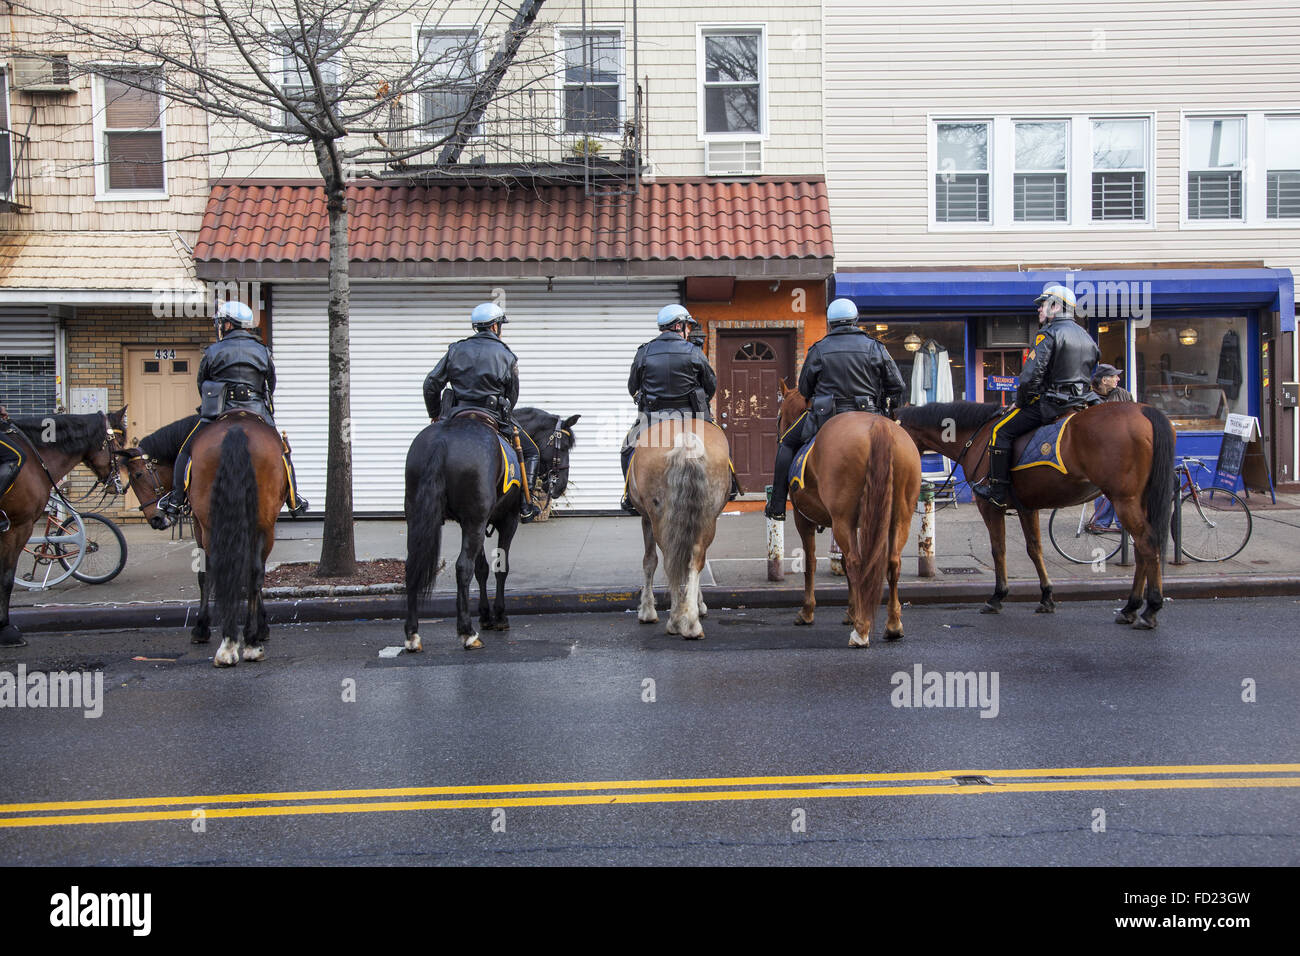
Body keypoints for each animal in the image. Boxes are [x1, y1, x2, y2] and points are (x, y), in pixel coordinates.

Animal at [405, 403, 579, 650]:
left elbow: (482, 569)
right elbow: (500, 567)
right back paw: (467, 632)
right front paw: (499, 615)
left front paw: (486, 615)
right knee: (462, 567)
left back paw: (412, 633)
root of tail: (442, 441)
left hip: (420, 515)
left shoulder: (472, 521)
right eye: (563, 446)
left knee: (413, 564)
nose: (561, 485)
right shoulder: (506, 519)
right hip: (474, 520)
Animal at [626, 416, 733, 639]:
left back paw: (676, 621)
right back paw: (691, 622)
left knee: (670, 560)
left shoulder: (646, 518)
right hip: (707, 517)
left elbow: (649, 561)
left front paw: (647, 610)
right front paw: (697, 606)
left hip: (660, 518)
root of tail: (685, 439)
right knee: (696, 559)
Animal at [769, 385, 925, 647]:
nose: (779, 436)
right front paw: (851, 611)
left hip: (843, 519)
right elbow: (842, 562)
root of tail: (877, 427)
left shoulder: (805, 519)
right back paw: (893, 626)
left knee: (856, 562)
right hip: (899, 517)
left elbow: (811, 563)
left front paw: (808, 611)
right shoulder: (852, 523)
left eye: (779, 416)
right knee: (892, 562)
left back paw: (861, 631)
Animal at [899, 398, 1175, 629]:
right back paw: (1131, 608)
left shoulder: (990, 506)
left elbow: (999, 549)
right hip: (1138, 500)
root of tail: (1143, 410)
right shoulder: (1026, 507)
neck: (975, 436)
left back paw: (1150, 608)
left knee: (1148, 544)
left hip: (1124, 500)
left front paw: (997, 596)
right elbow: (1035, 549)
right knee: (1142, 549)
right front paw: (1046, 596)